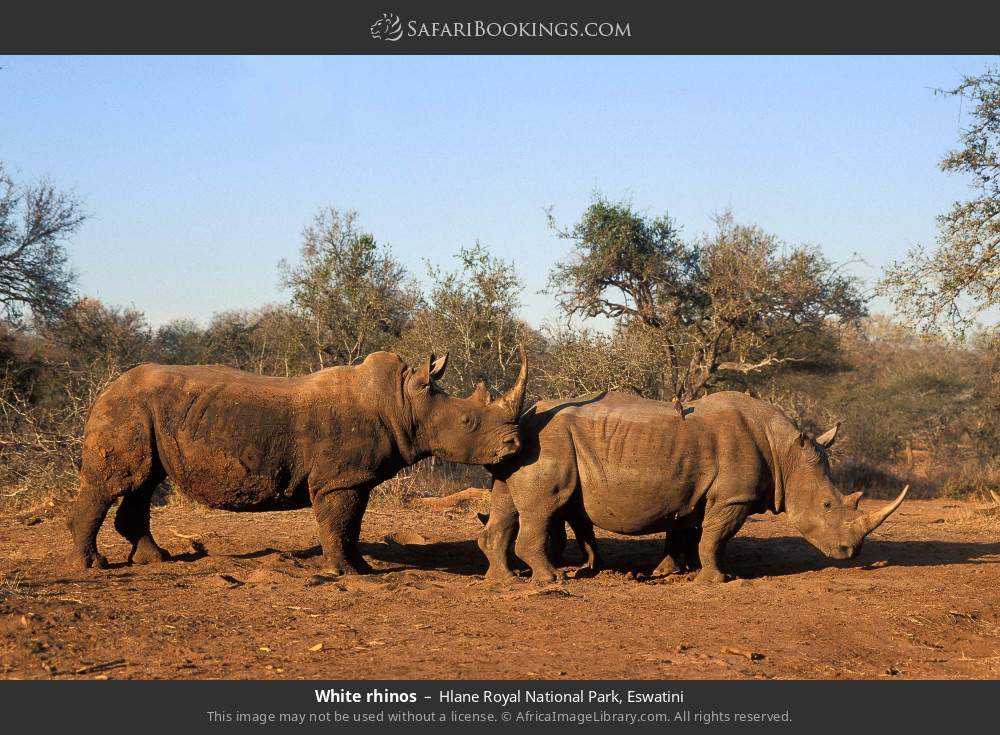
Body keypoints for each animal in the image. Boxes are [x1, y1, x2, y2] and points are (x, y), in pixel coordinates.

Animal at [67, 349, 527, 574]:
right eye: (468, 421)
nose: (513, 445)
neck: (402, 401)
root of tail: (105, 389)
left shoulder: (353, 478)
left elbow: (350, 525)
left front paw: (359, 566)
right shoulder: (338, 479)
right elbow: (337, 523)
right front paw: (344, 573)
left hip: (144, 413)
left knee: (143, 483)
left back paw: (155, 560)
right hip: (127, 409)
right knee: (116, 483)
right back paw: (92, 566)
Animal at [478, 390, 907, 583]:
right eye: (827, 506)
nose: (851, 553)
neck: (784, 451)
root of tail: (526, 418)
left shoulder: (691, 492)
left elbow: (686, 534)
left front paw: (669, 571)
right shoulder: (732, 497)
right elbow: (715, 538)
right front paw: (719, 580)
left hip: (526, 447)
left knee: (508, 505)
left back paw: (504, 579)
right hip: (549, 446)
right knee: (544, 508)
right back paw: (552, 579)